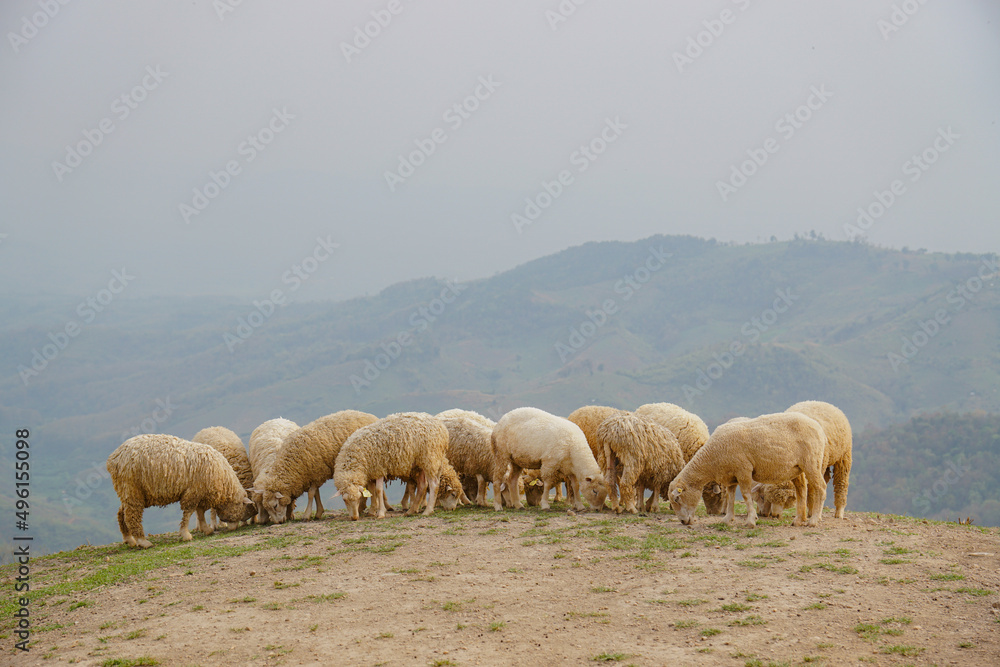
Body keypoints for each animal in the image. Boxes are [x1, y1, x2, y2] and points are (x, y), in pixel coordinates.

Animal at [106, 434, 255, 549]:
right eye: (242, 509)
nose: (233, 528)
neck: (224, 481)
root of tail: (114, 457)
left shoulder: (200, 493)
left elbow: (200, 512)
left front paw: (206, 529)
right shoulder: (193, 492)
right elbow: (189, 512)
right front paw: (186, 534)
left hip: (127, 491)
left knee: (121, 512)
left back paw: (129, 539)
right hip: (132, 489)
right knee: (132, 515)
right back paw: (142, 541)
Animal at [667, 412, 827, 528]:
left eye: (677, 498)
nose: (683, 522)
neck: (712, 456)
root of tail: (818, 426)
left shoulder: (743, 470)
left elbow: (745, 495)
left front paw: (751, 520)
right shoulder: (730, 476)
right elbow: (731, 496)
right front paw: (727, 519)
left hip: (812, 462)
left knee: (820, 487)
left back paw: (813, 520)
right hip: (796, 468)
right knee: (802, 490)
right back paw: (799, 520)